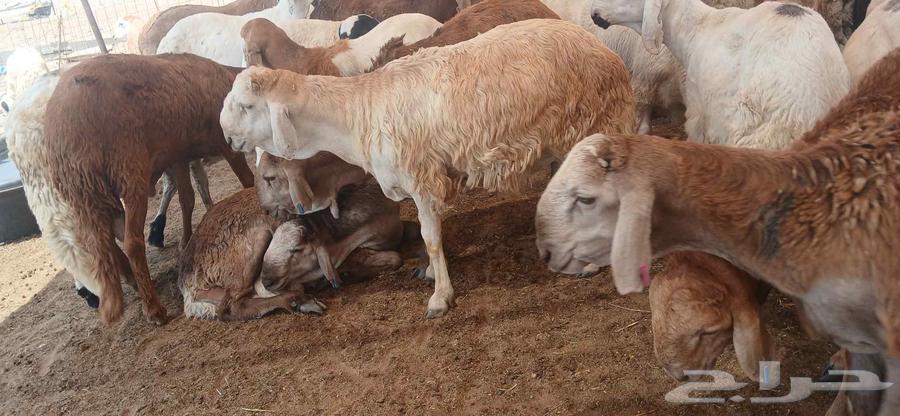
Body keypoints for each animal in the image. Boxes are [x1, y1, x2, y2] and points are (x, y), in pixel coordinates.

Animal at [35, 54, 256, 325]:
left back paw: (134, 283)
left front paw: (186, 241)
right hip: (129, 172)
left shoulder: (178, 155)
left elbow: (187, 198)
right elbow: (247, 180)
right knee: (131, 242)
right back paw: (154, 309)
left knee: (105, 240)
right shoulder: (226, 144)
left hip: (82, 193)